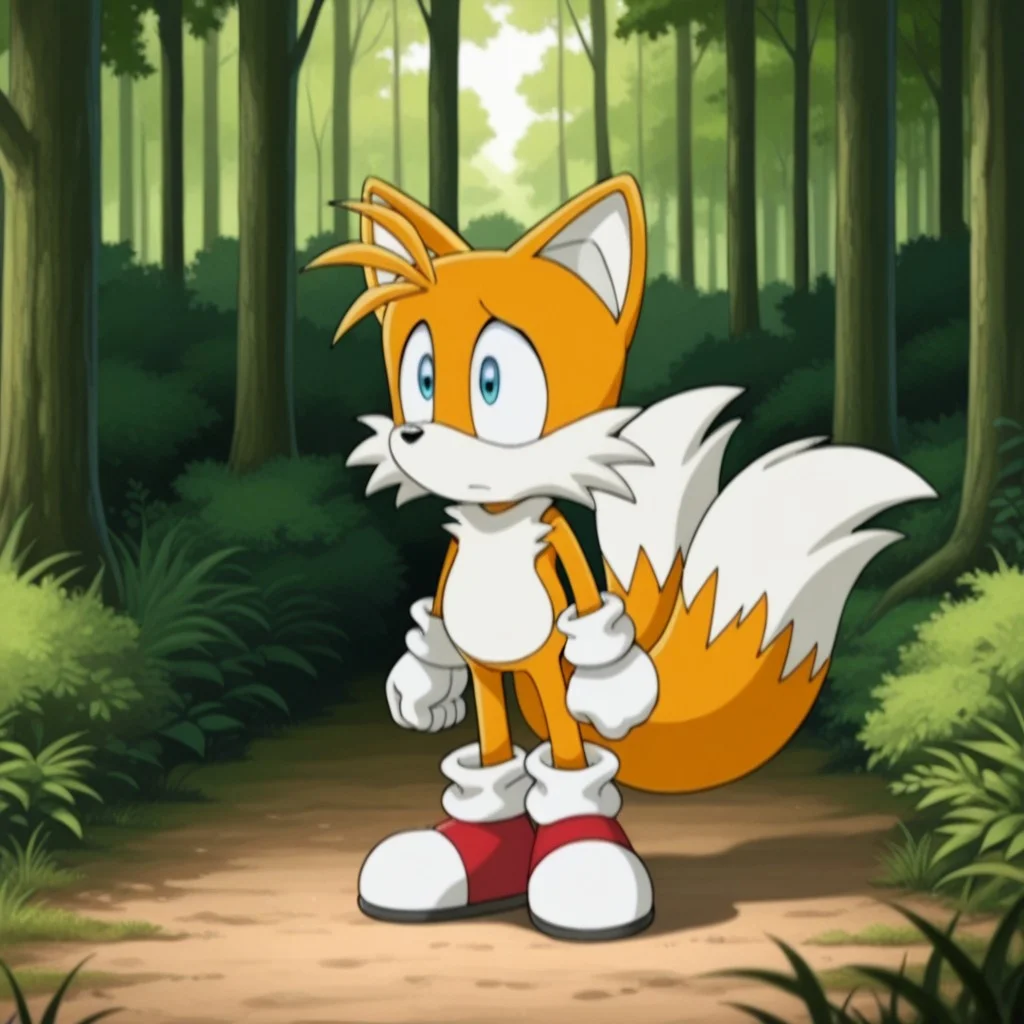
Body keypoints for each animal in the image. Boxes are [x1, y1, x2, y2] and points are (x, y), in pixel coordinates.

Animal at [305, 173, 936, 942]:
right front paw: (419, 692)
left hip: (545, 674)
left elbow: (594, 649)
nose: (414, 435)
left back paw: (579, 863)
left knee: (565, 757)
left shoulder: (566, 586)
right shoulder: (456, 585)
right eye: (421, 377)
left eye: (492, 383)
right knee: (491, 758)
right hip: (493, 679)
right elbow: (434, 632)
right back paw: (470, 854)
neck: (495, 526)